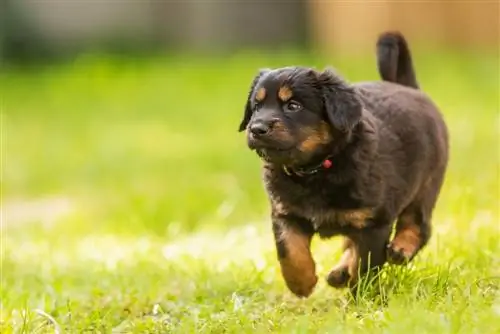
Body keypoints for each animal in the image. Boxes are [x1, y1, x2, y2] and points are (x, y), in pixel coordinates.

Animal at [237, 31, 450, 298]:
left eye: (293, 106)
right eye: (256, 107)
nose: (257, 128)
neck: (314, 171)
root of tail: (408, 88)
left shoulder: (374, 222)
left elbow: (366, 265)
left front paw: (361, 297)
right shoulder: (286, 213)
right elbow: (290, 250)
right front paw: (301, 283)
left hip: (426, 183)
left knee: (418, 224)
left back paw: (400, 249)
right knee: (351, 242)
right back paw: (340, 272)